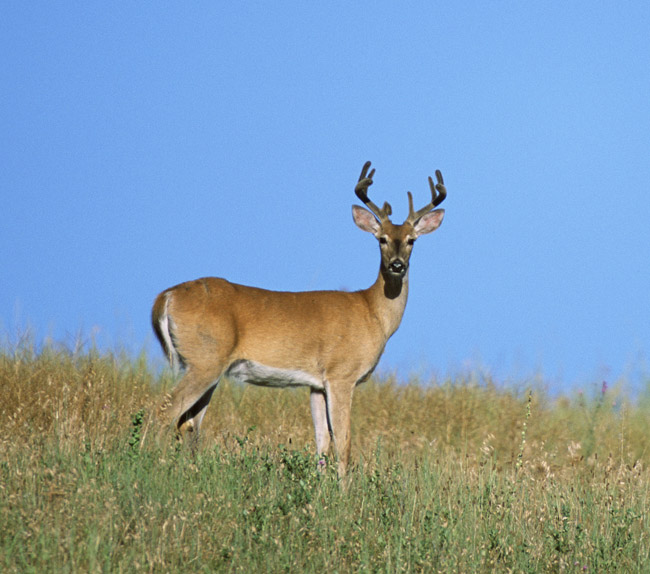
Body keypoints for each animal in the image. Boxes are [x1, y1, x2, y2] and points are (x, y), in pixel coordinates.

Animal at [151, 161, 446, 477]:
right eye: (381, 239)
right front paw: (344, 488)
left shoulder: (316, 384)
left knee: (188, 423)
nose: (397, 265)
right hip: (205, 361)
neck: (372, 313)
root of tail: (166, 297)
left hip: (203, 366)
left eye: (412, 240)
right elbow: (343, 442)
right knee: (164, 412)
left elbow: (322, 442)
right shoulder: (341, 374)